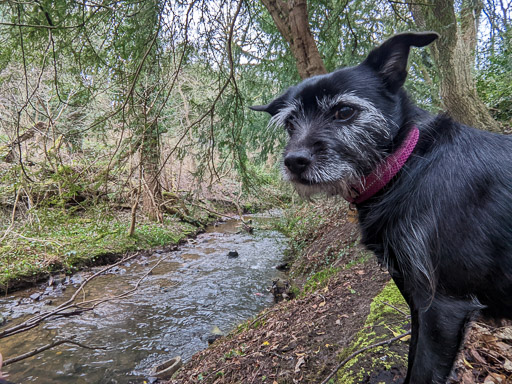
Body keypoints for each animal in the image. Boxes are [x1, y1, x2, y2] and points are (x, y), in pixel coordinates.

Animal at [252, 33, 512, 384]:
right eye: (291, 122)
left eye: (344, 111)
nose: (294, 162)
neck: (407, 165)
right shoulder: (414, 296)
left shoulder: (445, 306)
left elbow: (423, 372)